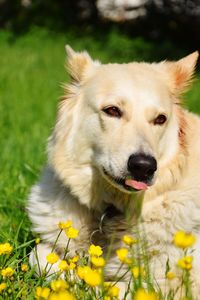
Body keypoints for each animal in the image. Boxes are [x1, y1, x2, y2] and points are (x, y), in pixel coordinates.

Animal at [27, 47, 200, 298]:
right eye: (112, 111)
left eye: (160, 119)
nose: (144, 166)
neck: (111, 211)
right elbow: (40, 257)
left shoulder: (170, 281)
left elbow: (114, 288)